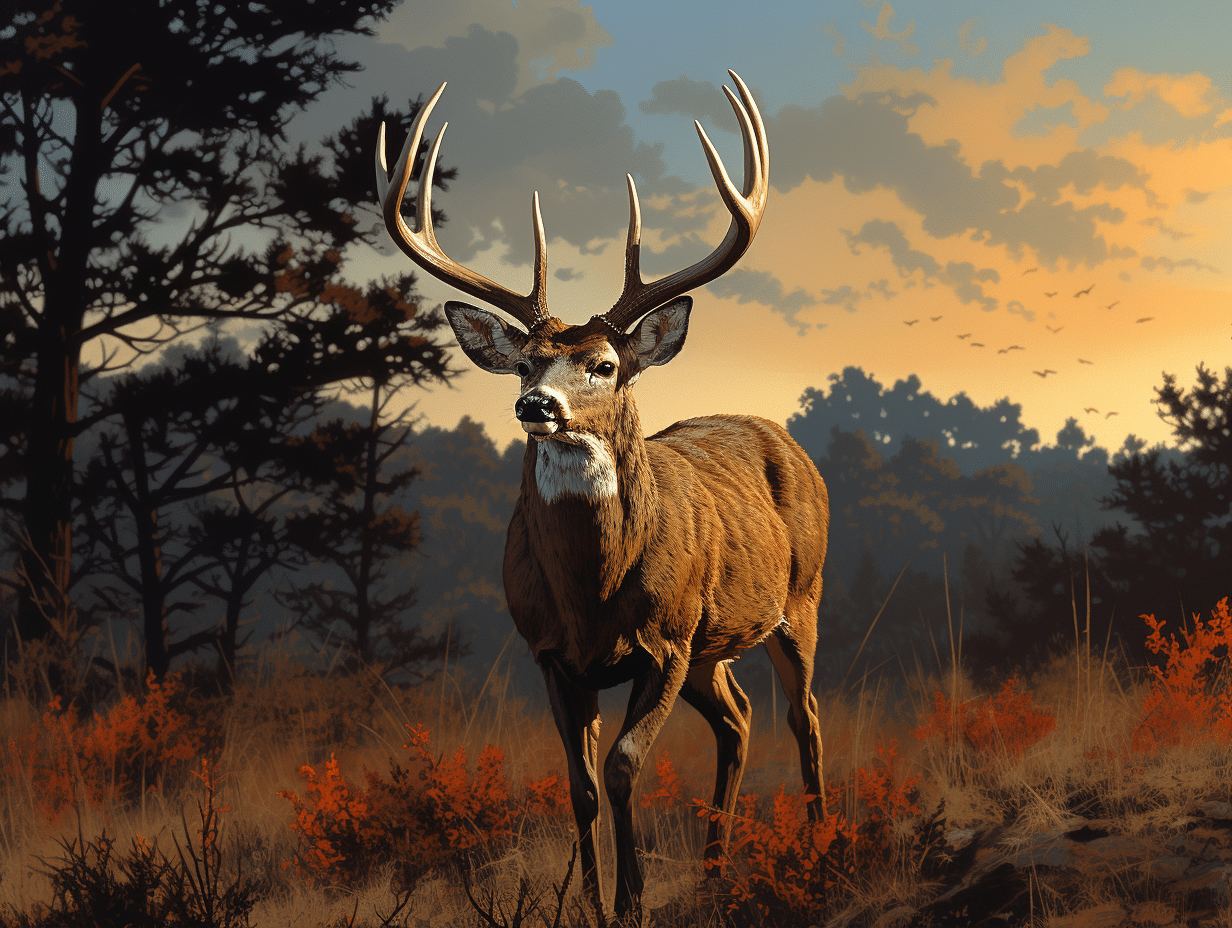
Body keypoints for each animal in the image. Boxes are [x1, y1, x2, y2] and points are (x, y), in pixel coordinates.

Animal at [375, 71, 829, 924]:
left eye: (606, 364)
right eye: (526, 361)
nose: (535, 405)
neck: (593, 592)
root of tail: (778, 432)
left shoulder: (667, 638)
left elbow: (621, 766)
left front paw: (633, 900)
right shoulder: (552, 652)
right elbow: (581, 785)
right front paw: (588, 902)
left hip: (799, 600)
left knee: (804, 715)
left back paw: (824, 850)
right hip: (714, 648)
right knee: (740, 719)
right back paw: (715, 873)